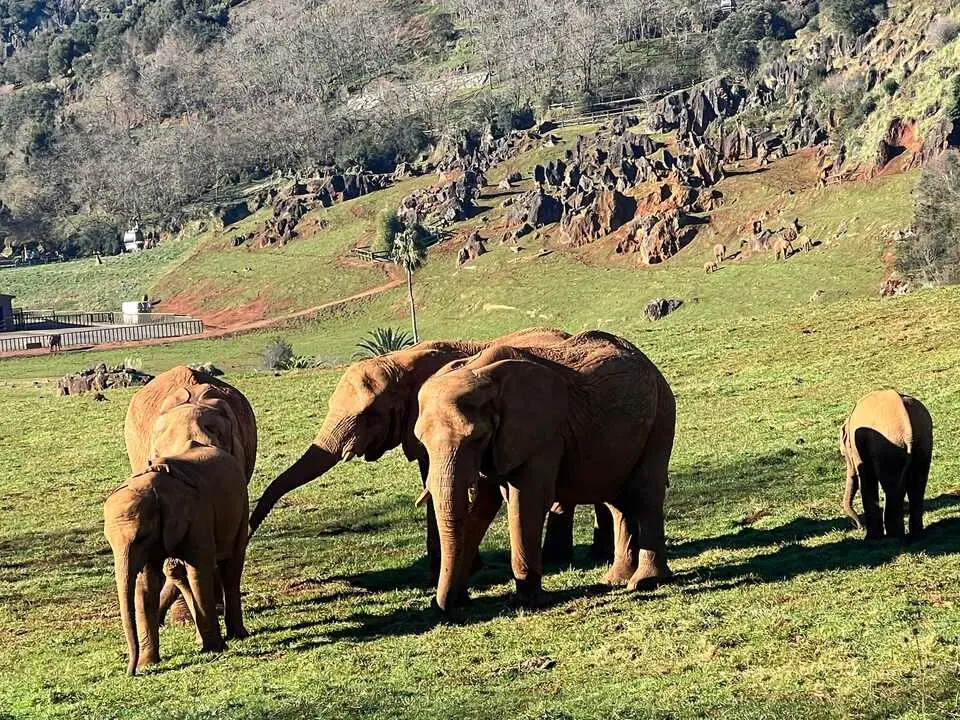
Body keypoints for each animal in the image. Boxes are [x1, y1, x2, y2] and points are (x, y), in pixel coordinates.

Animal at [103, 445, 249, 675]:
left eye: (142, 536)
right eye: (108, 542)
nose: (130, 672)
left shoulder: (198, 517)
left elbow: (199, 571)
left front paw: (213, 649)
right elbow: (147, 584)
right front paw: (148, 664)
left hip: (242, 506)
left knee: (231, 567)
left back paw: (237, 634)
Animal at [414, 330, 676, 611]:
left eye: (477, 438)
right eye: (422, 442)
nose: (441, 606)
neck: (479, 371)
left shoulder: (543, 436)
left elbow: (528, 500)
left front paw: (529, 602)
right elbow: (482, 508)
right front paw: (458, 601)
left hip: (662, 415)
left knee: (644, 493)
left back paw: (644, 582)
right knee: (616, 500)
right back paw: (616, 580)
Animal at [840, 389, 933, 540]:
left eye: (844, 454)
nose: (859, 527)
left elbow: (866, 478)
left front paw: (871, 538)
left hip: (890, 447)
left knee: (892, 486)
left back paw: (893, 536)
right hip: (924, 441)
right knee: (917, 484)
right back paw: (916, 535)